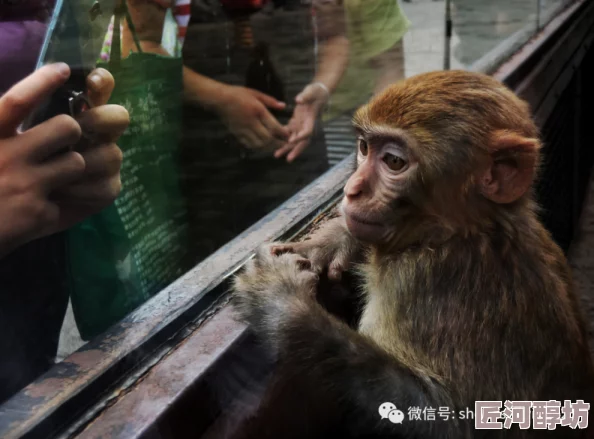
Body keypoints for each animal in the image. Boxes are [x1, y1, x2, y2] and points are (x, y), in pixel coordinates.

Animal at [230, 70, 592, 438]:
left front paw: (282, 304)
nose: (350, 190)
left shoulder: (428, 282)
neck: (460, 232)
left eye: (393, 161)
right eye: (364, 148)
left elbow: (447, 418)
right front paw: (332, 241)